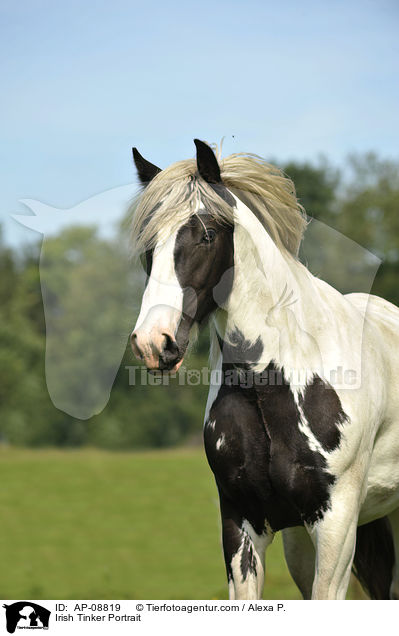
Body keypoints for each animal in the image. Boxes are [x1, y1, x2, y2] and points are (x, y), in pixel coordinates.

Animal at [130, 140, 399, 600]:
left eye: (207, 234)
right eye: (150, 245)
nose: (154, 342)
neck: (270, 383)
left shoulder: (337, 525)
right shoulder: (243, 522)